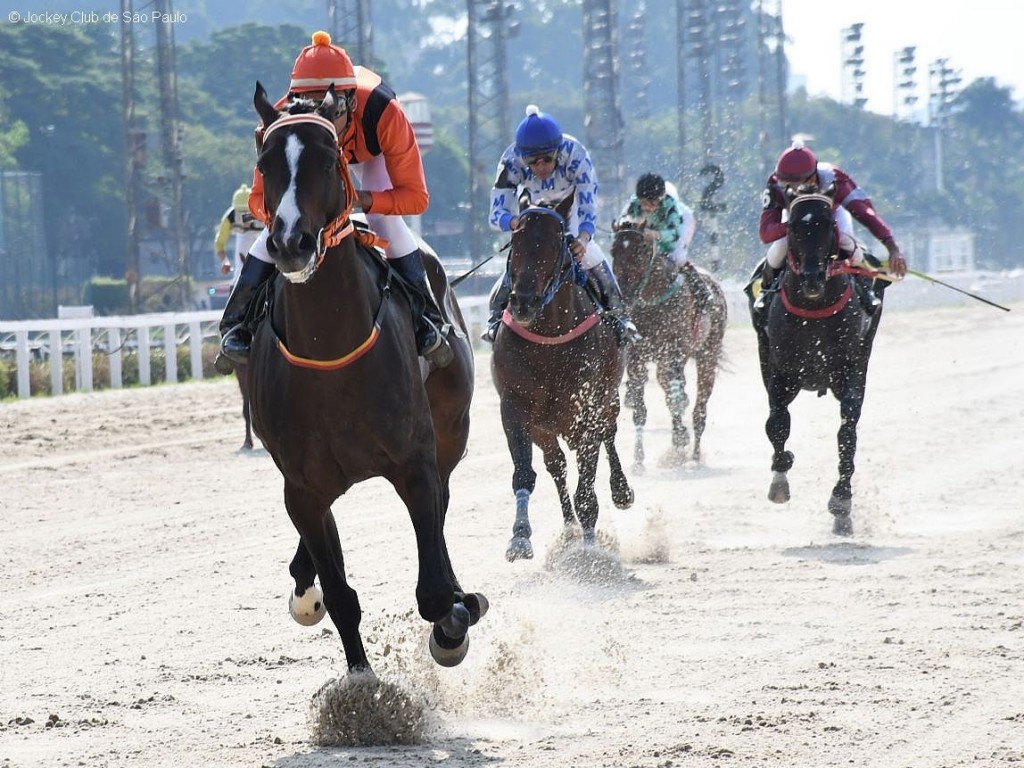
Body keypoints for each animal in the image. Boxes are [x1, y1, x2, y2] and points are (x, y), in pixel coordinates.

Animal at [247, 81, 487, 675]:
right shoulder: (301, 486)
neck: (332, 352)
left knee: (442, 510)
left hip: (452, 431)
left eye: (327, 159)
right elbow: (339, 595)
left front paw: (455, 620)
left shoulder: (416, 462)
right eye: (265, 162)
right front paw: (361, 684)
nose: (291, 242)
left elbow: (434, 591)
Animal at [487, 195, 630, 561]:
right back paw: (568, 528)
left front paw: (590, 550)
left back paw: (621, 491)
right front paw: (520, 536)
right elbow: (525, 472)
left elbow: (587, 487)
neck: (549, 334)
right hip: (546, 427)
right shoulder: (514, 408)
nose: (523, 303)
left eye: (556, 243)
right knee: (557, 466)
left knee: (609, 436)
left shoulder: (588, 409)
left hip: (607, 402)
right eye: (515, 242)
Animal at [606, 222, 729, 473]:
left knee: (698, 407)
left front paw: (680, 440)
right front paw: (638, 460)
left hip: (707, 353)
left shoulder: (673, 349)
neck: (652, 301)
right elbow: (640, 409)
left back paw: (694, 455)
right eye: (614, 250)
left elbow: (675, 398)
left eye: (641, 249)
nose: (625, 293)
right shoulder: (637, 357)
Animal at [749, 192, 884, 536]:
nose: (812, 278)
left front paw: (841, 503)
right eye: (794, 228)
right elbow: (777, 423)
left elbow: (847, 432)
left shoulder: (851, 369)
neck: (814, 308)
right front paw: (780, 478)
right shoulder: (778, 372)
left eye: (827, 227)